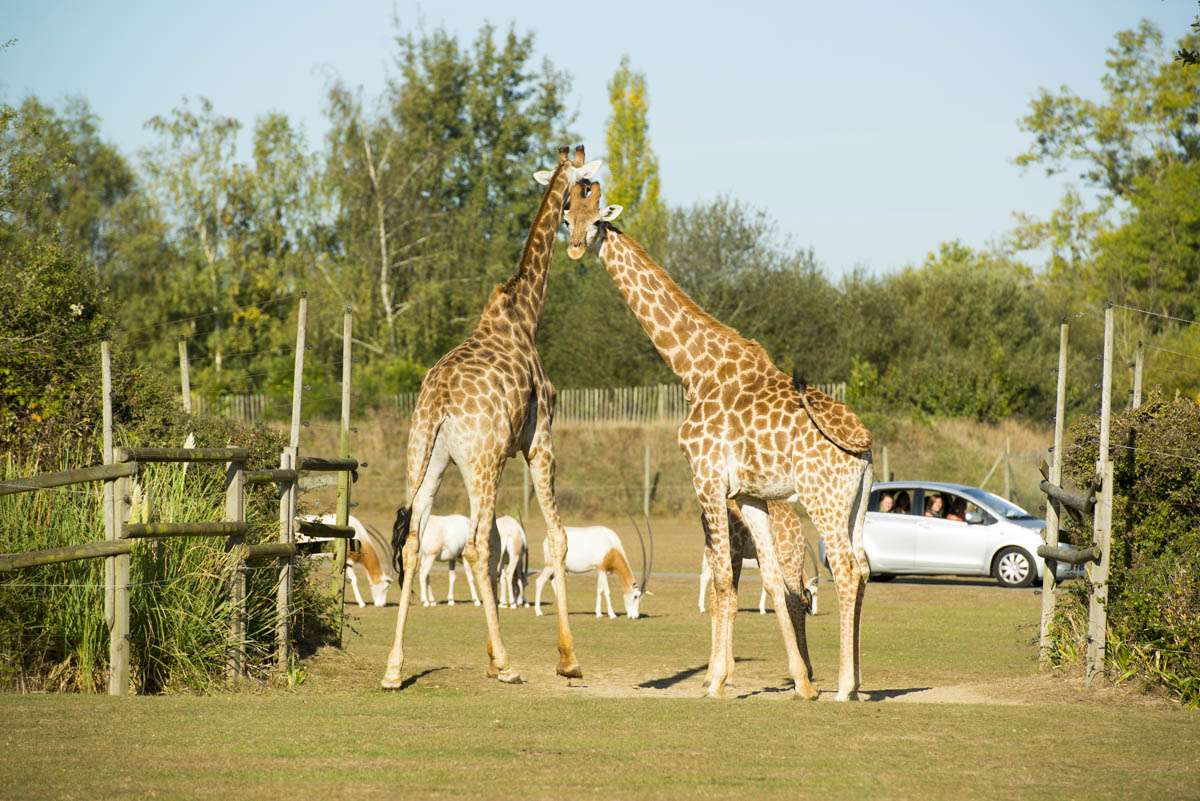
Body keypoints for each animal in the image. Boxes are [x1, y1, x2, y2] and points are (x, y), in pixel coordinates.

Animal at [379, 143, 600, 690]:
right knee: (477, 545)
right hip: (480, 462)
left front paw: (489, 653)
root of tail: (438, 404)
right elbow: (554, 538)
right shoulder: (538, 442)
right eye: (585, 188)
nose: (580, 240)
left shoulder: (497, 455)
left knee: (414, 541)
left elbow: (504, 540)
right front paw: (566, 659)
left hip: (428, 457)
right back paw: (508, 664)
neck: (525, 314)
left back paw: (394, 669)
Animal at [556, 179, 878, 700]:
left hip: (823, 498)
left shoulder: (706, 478)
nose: (575, 245)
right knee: (864, 567)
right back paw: (859, 683)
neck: (693, 369)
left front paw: (717, 682)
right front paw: (801, 682)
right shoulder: (748, 494)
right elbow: (773, 581)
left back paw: (846, 687)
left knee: (847, 569)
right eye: (567, 216)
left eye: (595, 216)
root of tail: (865, 442)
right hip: (857, 504)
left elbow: (725, 579)